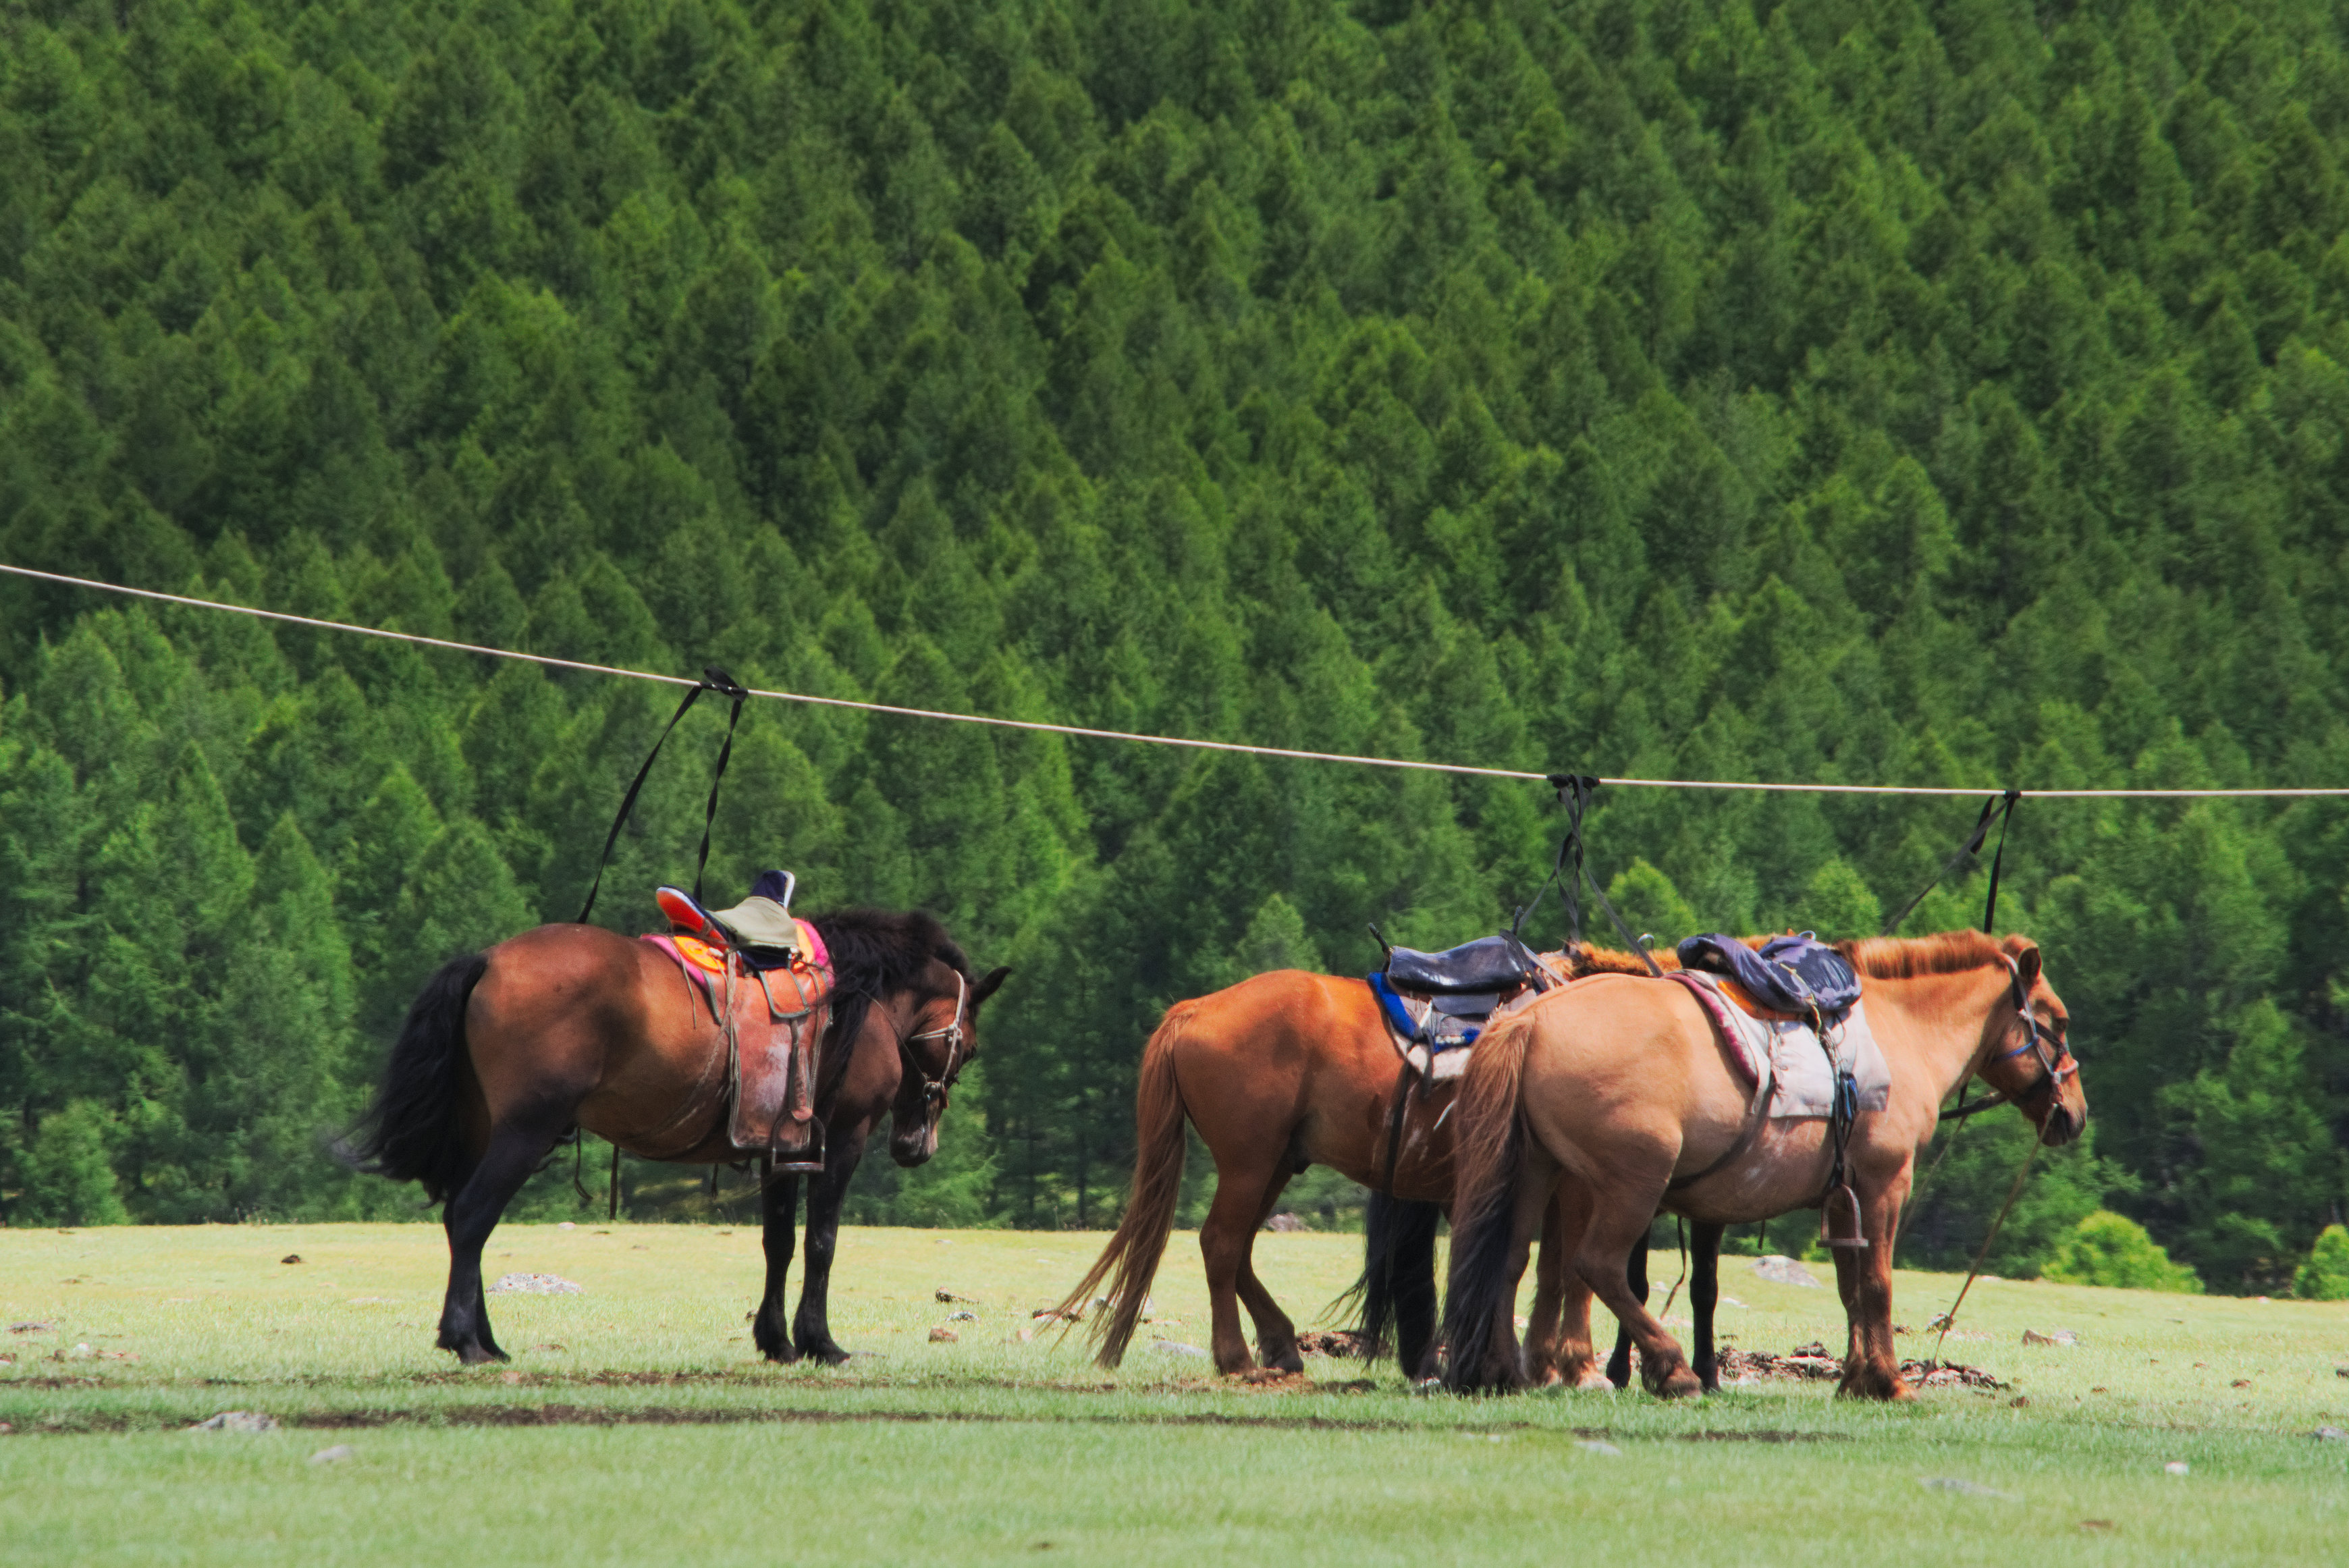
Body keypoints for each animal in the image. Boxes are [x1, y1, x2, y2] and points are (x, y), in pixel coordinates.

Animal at [343, 906, 1005, 1361]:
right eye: (969, 1049)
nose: (918, 1145)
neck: (858, 1002)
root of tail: (490, 959)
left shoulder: (782, 1145)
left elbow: (780, 1243)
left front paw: (777, 1341)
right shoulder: (843, 1138)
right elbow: (821, 1242)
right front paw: (820, 1342)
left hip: (487, 1129)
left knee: (462, 1218)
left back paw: (485, 1337)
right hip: (525, 1130)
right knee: (473, 1214)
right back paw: (467, 1340)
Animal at [1437, 929, 2086, 1399]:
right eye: (2057, 1020)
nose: (2074, 1113)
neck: (1902, 1029)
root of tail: (1530, 1018)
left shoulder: (1842, 1195)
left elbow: (1851, 1287)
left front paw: (1856, 1378)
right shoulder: (1884, 1185)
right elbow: (1877, 1284)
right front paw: (1889, 1381)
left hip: (1536, 1172)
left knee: (1510, 1260)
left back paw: (1502, 1369)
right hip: (1632, 1183)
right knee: (1597, 1266)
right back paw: (1674, 1369)